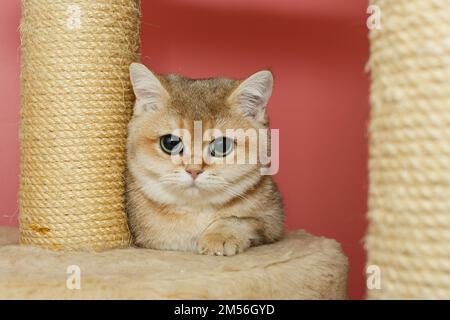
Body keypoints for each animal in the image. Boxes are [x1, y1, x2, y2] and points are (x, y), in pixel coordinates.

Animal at [125, 63, 284, 256]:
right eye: (170, 143)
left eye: (222, 145)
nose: (194, 170)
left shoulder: (273, 220)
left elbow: (239, 219)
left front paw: (220, 235)